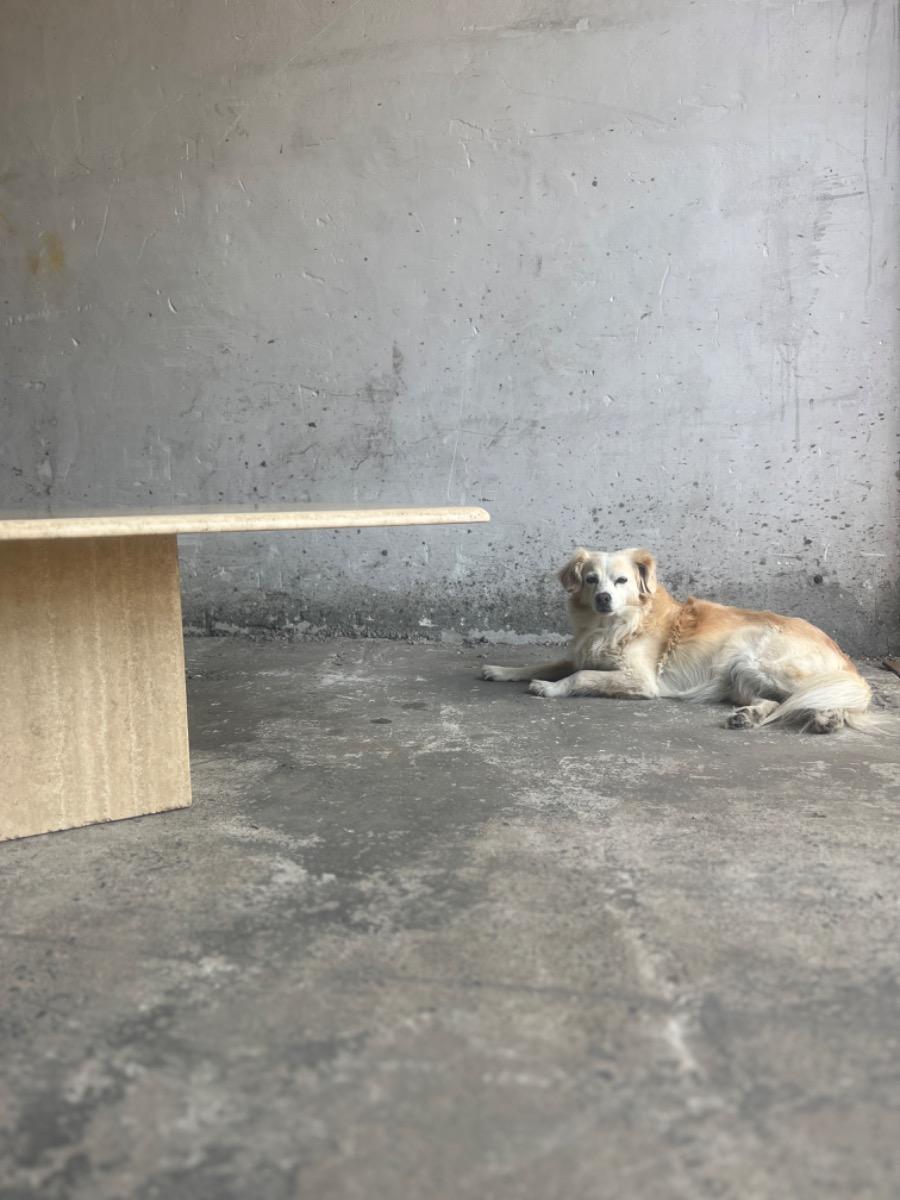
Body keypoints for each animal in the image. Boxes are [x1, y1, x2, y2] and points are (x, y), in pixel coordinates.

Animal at [487, 544, 873, 729]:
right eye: (591, 579)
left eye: (622, 580)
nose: (603, 599)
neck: (613, 625)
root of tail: (844, 658)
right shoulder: (584, 652)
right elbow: (549, 662)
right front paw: (501, 671)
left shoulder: (639, 680)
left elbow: (580, 675)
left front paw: (551, 689)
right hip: (741, 675)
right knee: (779, 702)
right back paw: (749, 716)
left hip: (759, 660)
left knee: (830, 698)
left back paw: (827, 719)